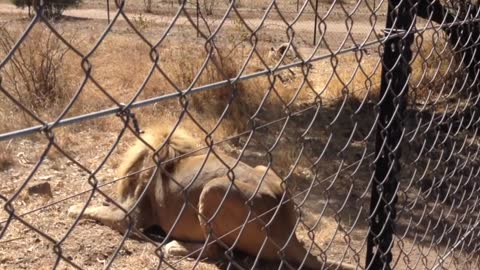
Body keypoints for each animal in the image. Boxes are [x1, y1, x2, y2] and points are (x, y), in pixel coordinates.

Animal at [67, 125, 354, 270]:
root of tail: (287, 232)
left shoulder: (131, 217)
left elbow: (94, 209)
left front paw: (72, 208)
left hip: (214, 190)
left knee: (216, 251)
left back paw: (174, 246)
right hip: (265, 168)